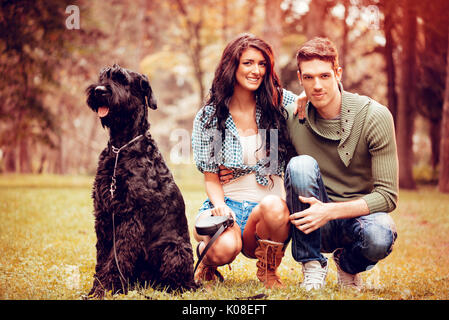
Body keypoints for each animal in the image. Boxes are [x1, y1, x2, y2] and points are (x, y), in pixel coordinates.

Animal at [85, 64, 196, 298]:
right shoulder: (104, 214)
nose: (99, 90)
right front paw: (96, 289)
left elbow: (117, 257)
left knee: (179, 281)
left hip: (174, 249)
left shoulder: (130, 217)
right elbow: (103, 256)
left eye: (122, 79)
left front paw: (105, 289)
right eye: (102, 76)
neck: (121, 147)